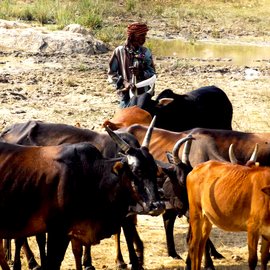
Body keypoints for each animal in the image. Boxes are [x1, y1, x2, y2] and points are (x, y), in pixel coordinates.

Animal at [0, 119, 165, 270]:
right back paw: (30, 262)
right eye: (137, 171)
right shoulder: (57, 231)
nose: (158, 205)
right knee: (21, 240)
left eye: (154, 170)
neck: (91, 174)